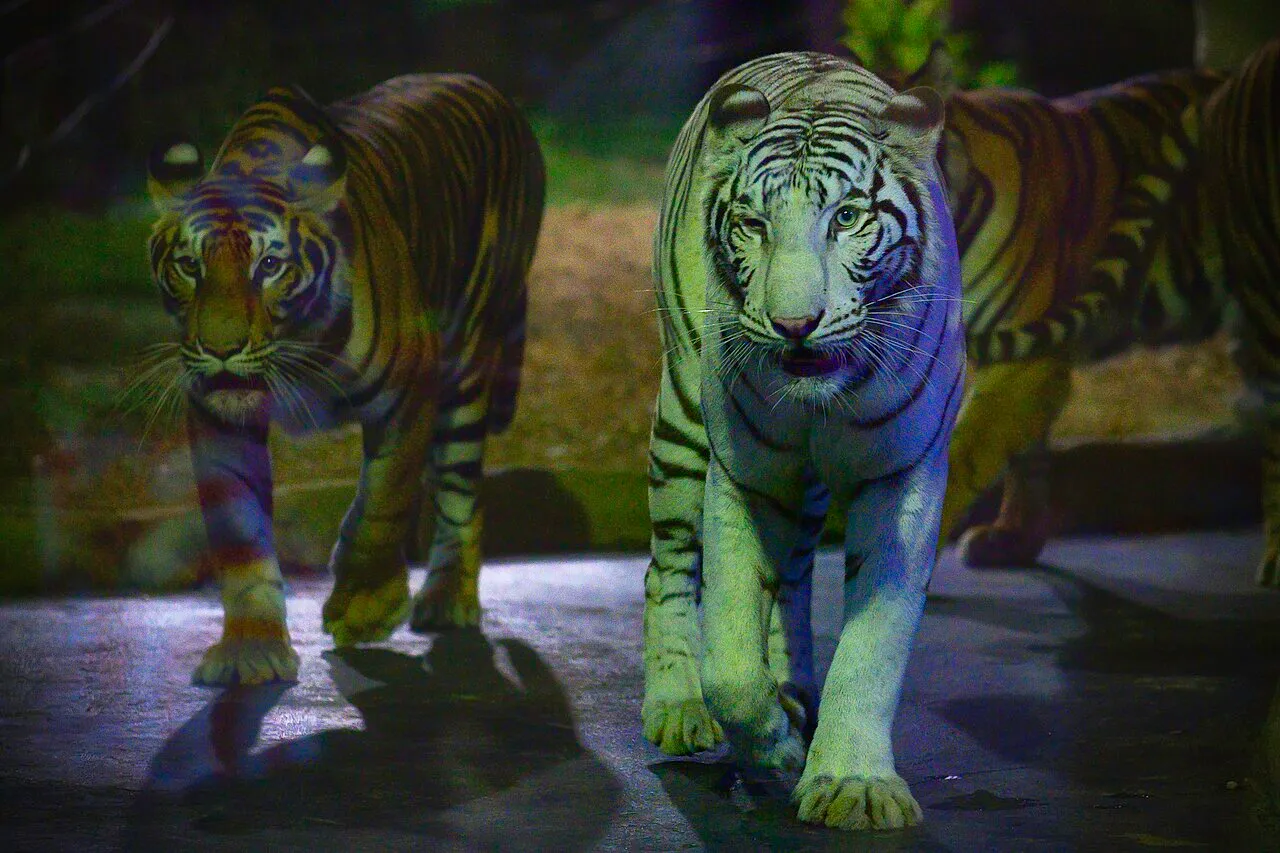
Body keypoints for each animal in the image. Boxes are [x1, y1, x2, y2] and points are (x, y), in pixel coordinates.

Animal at [144, 74, 544, 686]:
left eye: (269, 267)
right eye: (191, 266)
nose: (220, 350)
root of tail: (495, 94)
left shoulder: (410, 388)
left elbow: (383, 501)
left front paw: (365, 608)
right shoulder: (218, 416)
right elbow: (239, 535)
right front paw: (250, 648)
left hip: (469, 357)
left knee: (461, 487)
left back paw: (447, 600)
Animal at [642, 51, 963, 830]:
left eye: (846, 217)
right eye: (753, 224)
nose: (794, 325)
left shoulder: (903, 475)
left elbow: (872, 645)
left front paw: (852, 782)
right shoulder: (746, 470)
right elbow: (730, 656)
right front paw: (775, 747)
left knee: (790, 578)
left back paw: (794, 692)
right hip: (682, 415)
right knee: (668, 564)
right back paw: (676, 706)